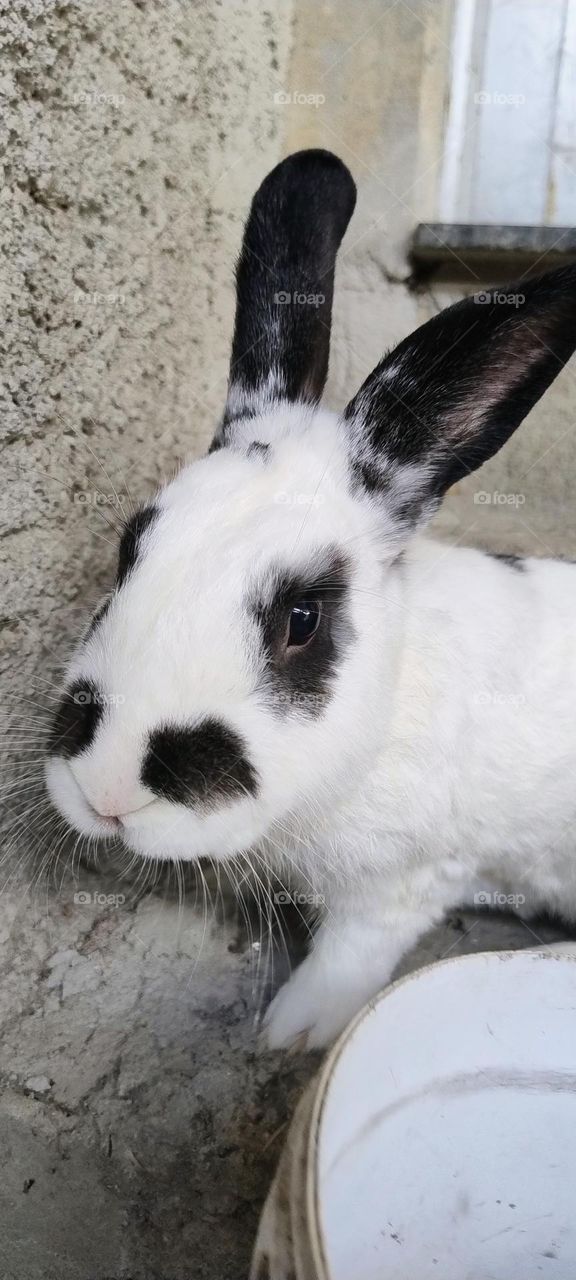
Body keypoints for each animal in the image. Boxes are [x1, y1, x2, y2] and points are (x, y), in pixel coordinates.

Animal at [45, 148, 576, 1050]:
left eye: (302, 620)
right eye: (128, 549)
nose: (108, 793)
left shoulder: (402, 883)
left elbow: (348, 958)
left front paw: (286, 1034)